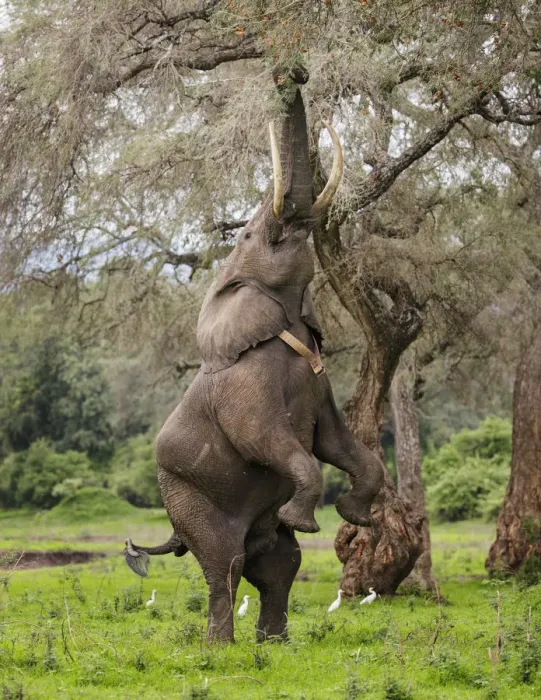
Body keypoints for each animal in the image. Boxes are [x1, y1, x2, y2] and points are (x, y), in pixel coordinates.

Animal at [125, 69, 384, 643]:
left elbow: (338, 443)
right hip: (188, 495)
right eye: (246, 233)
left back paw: (276, 644)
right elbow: (269, 441)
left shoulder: (321, 380)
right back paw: (220, 649)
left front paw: (357, 515)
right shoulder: (244, 386)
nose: (294, 72)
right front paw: (309, 518)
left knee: (279, 565)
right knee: (226, 565)